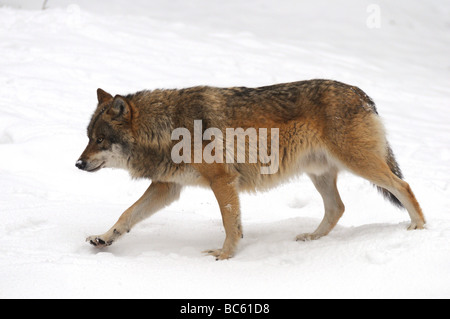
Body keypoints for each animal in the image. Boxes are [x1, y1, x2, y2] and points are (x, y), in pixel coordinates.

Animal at [75, 79, 424, 260]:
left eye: (100, 140)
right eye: (88, 138)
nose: (78, 163)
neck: (166, 127)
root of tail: (363, 94)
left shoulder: (222, 180)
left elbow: (231, 224)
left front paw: (224, 256)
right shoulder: (167, 187)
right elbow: (127, 215)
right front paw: (103, 239)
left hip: (358, 163)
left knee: (403, 186)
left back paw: (418, 229)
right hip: (319, 173)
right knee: (337, 207)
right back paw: (311, 238)